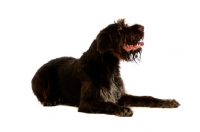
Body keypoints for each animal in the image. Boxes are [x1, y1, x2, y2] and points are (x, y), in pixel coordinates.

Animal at [31, 18, 180, 116]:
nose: (142, 27)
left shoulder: (120, 95)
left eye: (125, 25)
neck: (108, 67)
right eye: (120, 30)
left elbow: (145, 98)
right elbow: (107, 104)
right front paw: (122, 109)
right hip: (43, 75)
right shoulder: (86, 102)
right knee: (41, 96)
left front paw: (167, 102)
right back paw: (51, 100)